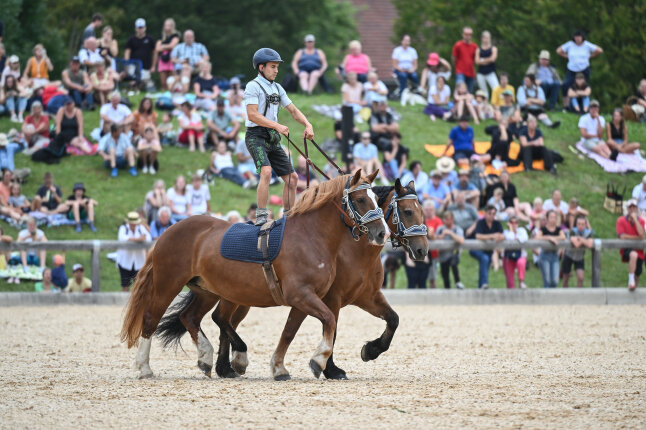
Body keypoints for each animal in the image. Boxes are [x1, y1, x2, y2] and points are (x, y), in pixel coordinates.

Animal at [155, 178, 430, 380]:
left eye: (421, 212)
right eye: (407, 212)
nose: (422, 250)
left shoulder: (367, 296)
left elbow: (393, 319)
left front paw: (370, 350)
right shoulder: (329, 298)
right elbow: (331, 329)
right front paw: (330, 368)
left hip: (236, 297)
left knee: (221, 321)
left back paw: (226, 367)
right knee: (218, 320)